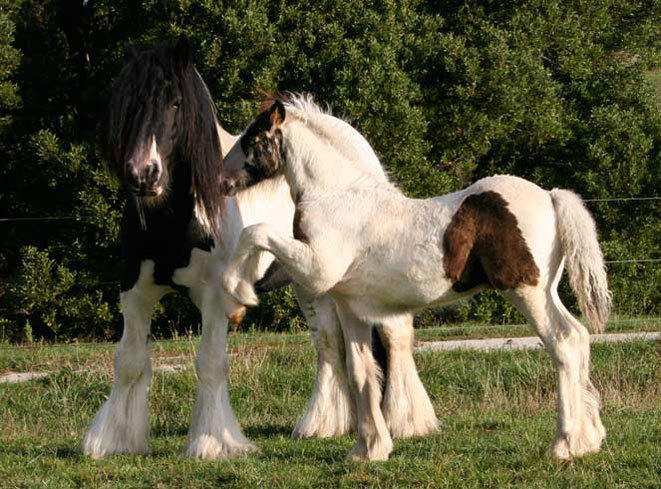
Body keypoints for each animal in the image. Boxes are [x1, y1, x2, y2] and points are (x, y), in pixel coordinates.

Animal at [82, 38, 436, 458]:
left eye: (175, 104)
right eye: (128, 106)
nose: (144, 174)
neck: (177, 217)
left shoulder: (215, 298)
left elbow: (210, 363)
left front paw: (213, 443)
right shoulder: (136, 291)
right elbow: (130, 362)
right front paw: (113, 441)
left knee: (395, 333)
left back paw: (408, 421)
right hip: (309, 282)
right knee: (327, 342)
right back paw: (322, 425)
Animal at [223, 95, 612, 462]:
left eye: (252, 137)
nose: (222, 180)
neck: (338, 197)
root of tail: (550, 196)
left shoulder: (316, 270)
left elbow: (256, 231)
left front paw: (238, 292)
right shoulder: (350, 306)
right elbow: (361, 371)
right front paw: (368, 450)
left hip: (526, 291)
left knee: (563, 343)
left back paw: (564, 444)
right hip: (547, 291)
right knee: (578, 337)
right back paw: (588, 439)